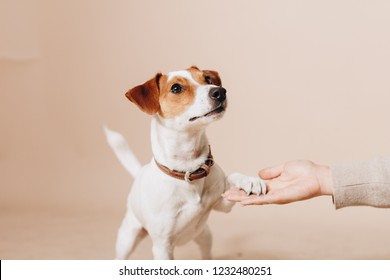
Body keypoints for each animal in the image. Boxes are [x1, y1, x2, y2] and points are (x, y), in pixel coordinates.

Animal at [105, 66, 266, 260]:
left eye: (207, 79)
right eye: (176, 88)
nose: (220, 91)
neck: (188, 171)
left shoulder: (222, 205)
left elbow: (233, 179)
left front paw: (249, 181)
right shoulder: (162, 247)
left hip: (204, 235)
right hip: (128, 238)